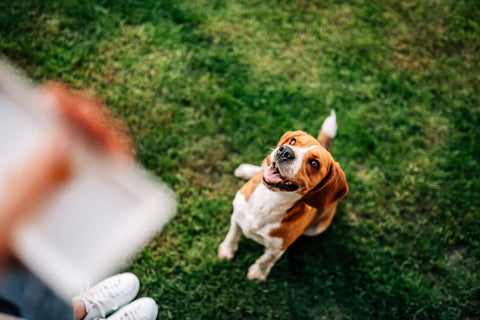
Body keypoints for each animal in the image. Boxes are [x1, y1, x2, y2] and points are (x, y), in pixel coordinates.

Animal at [218, 110, 348, 280]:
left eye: (315, 164)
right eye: (293, 141)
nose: (285, 151)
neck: (269, 201)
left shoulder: (279, 247)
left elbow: (267, 259)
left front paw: (258, 272)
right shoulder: (237, 214)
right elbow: (232, 235)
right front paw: (227, 250)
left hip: (317, 229)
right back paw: (247, 170)